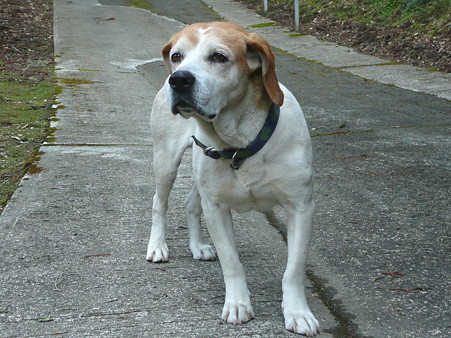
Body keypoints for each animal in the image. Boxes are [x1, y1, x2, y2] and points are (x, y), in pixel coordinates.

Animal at [147, 22, 320, 336]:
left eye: (219, 56)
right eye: (177, 55)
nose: (178, 80)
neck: (240, 143)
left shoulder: (301, 207)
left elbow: (294, 269)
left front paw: (298, 312)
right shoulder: (216, 208)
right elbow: (232, 262)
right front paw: (238, 304)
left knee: (191, 203)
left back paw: (198, 246)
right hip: (165, 161)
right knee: (159, 203)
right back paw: (157, 246)